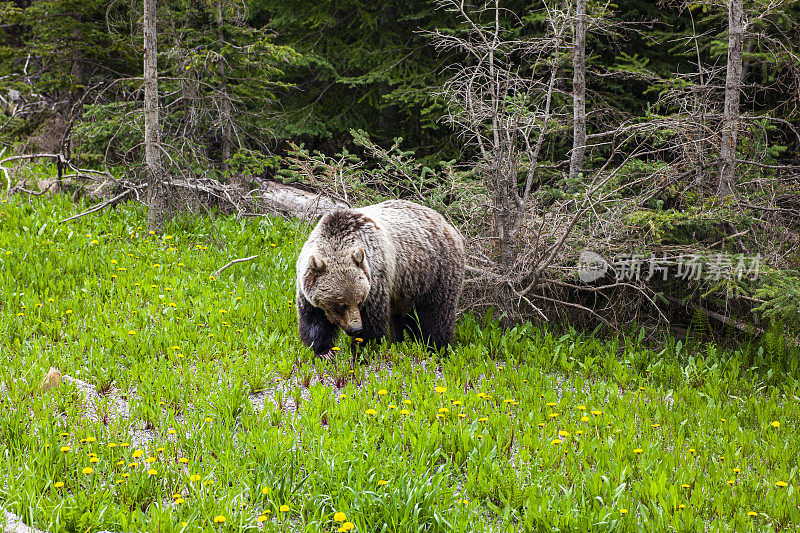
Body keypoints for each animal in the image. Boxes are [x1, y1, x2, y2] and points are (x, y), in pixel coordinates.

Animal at [296, 200, 466, 358]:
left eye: (359, 301)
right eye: (341, 304)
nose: (356, 328)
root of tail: (444, 221)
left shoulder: (375, 278)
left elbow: (373, 322)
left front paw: (360, 350)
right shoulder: (307, 287)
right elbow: (313, 320)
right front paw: (325, 352)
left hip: (435, 272)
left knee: (437, 314)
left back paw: (436, 347)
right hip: (408, 287)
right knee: (406, 317)